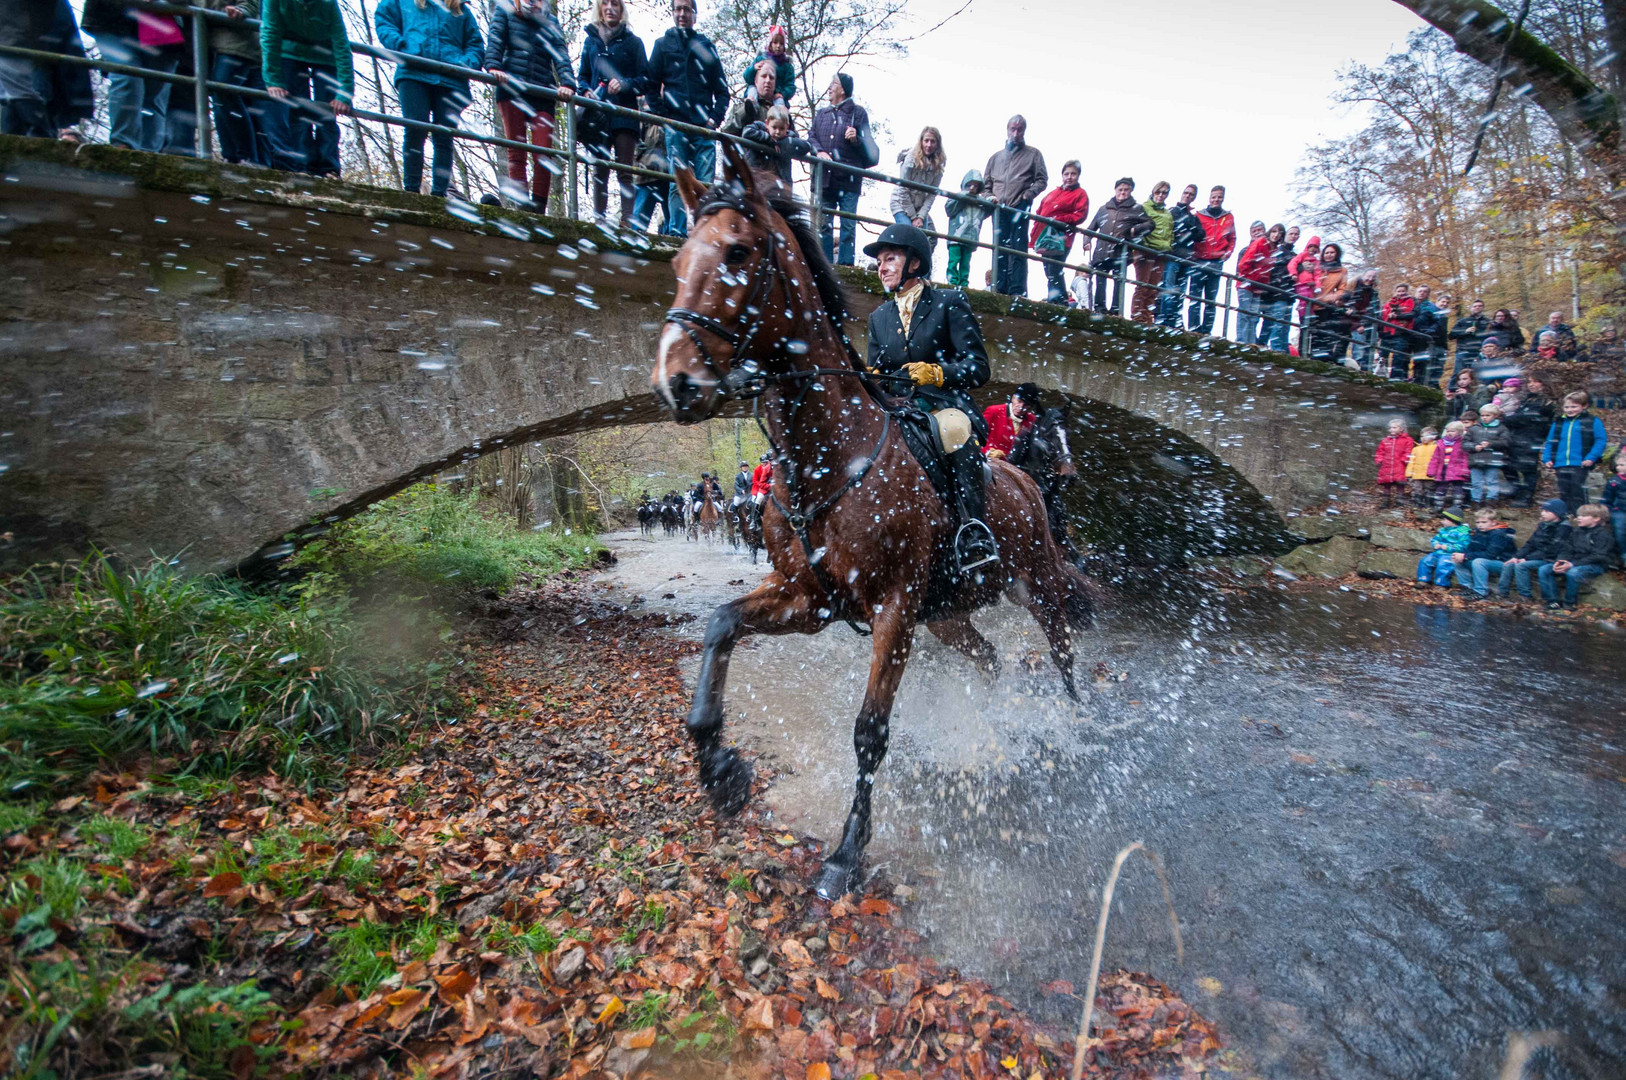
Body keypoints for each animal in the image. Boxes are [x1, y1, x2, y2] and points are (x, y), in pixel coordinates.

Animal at [647, 148, 1092, 897]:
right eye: (679, 259)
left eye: (737, 251)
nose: (676, 382)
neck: (831, 455)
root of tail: (1026, 479)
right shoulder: (808, 598)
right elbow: (719, 626)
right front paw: (721, 771)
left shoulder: (894, 608)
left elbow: (869, 731)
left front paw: (847, 852)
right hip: (950, 617)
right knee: (991, 660)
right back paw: (990, 734)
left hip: (1034, 587)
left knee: (1062, 656)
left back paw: (1077, 726)